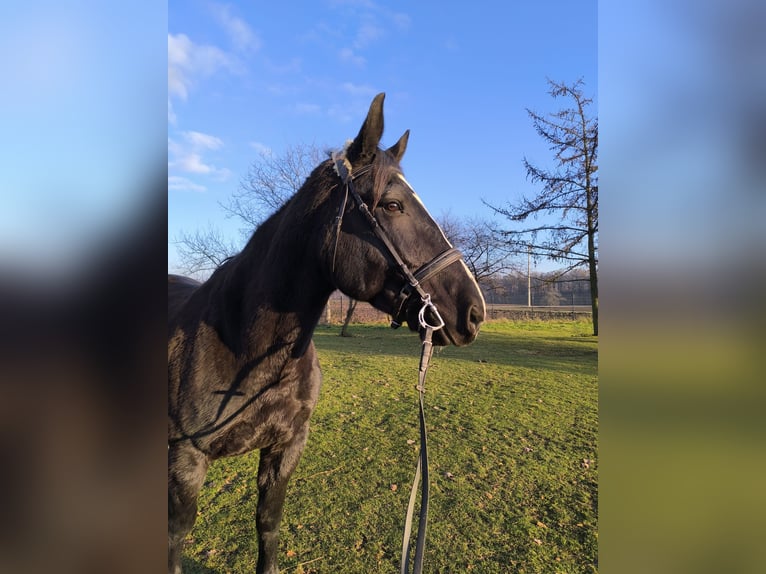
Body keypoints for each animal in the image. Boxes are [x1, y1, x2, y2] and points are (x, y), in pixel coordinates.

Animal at [168, 92, 486, 572]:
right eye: (392, 205)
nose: (474, 311)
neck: (244, 348)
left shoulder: (285, 450)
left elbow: (268, 529)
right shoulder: (185, 463)